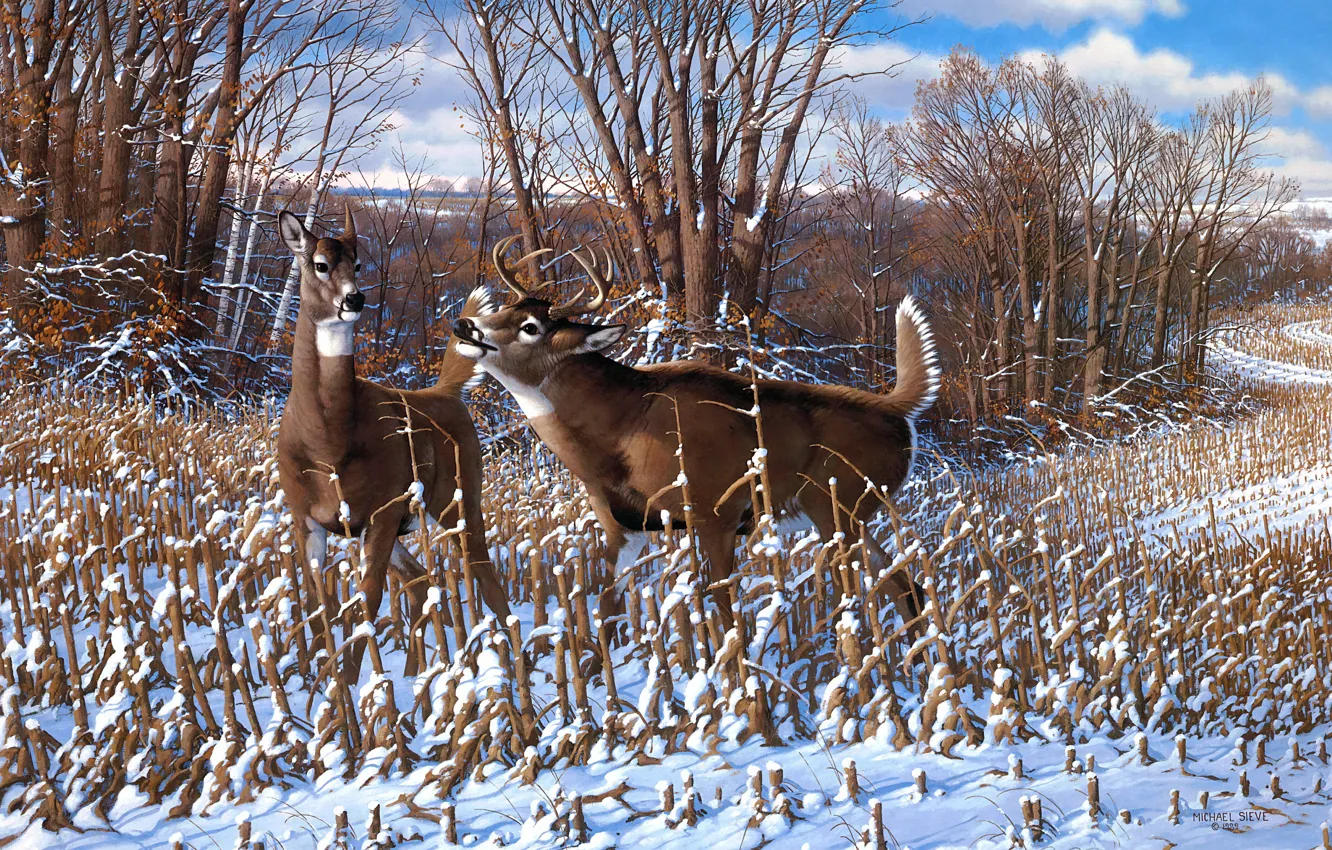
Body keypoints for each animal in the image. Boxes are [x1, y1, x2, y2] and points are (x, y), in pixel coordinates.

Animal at [275, 211, 508, 687]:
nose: (355, 298)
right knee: (420, 581)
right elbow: (317, 602)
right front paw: (326, 684)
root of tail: (446, 393)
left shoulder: (380, 512)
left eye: (360, 263)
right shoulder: (305, 516)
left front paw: (352, 685)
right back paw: (417, 674)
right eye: (320, 264)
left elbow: (366, 600)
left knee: (482, 574)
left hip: (459, 496)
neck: (328, 440)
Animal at [455, 239, 937, 634]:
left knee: (873, 589)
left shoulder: (716, 512)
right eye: (502, 308)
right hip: (852, 513)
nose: (464, 325)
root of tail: (898, 411)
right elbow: (607, 611)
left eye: (531, 327)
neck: (618, 435)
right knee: (906, 586)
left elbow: (726, 612)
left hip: (837, 507)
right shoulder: (623, 526)